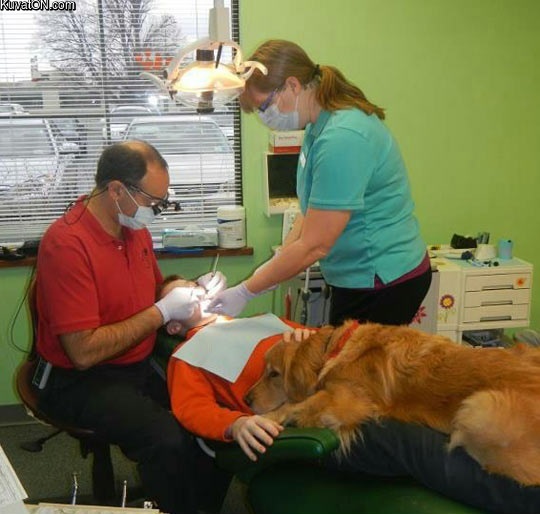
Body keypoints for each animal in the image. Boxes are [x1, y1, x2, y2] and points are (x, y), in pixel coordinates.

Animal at [246, 320, 540, 484]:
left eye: (274, 374)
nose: (247, 399)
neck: (337, 347)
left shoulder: (347, 401)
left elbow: (296, 404)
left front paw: (266, 418)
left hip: (478, 407)